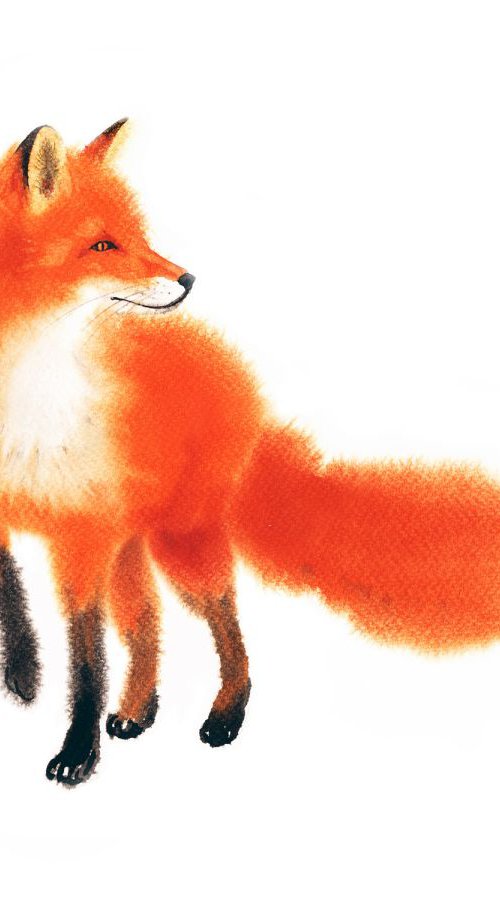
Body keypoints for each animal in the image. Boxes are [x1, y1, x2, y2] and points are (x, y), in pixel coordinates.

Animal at [0, 119, 500, 787]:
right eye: (103, 245)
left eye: (138, 236)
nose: (188, 280)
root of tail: (236, 373)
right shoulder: (30, 524)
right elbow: (13, 594)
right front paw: (24, 674)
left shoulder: (79, 538)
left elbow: (86, 661)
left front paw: (76, 753)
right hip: (137, 544)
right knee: (148, 625)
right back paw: (137, 711)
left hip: (183, 545)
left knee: (228, 628)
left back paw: (225, 716)